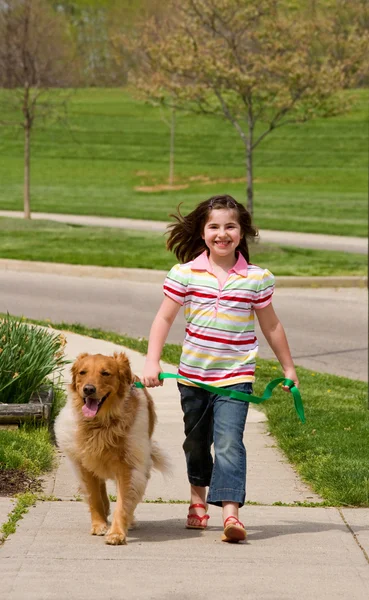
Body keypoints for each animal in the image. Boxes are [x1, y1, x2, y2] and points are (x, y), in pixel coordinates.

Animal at [54, 354, 168, 548]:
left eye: (105, 373)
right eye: (82, 372)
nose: (88, 389)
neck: (101, 423)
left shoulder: (129, 464)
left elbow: (123, 502)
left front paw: (116, 533)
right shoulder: (84, 461)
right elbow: (94, 496)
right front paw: (99, 524)